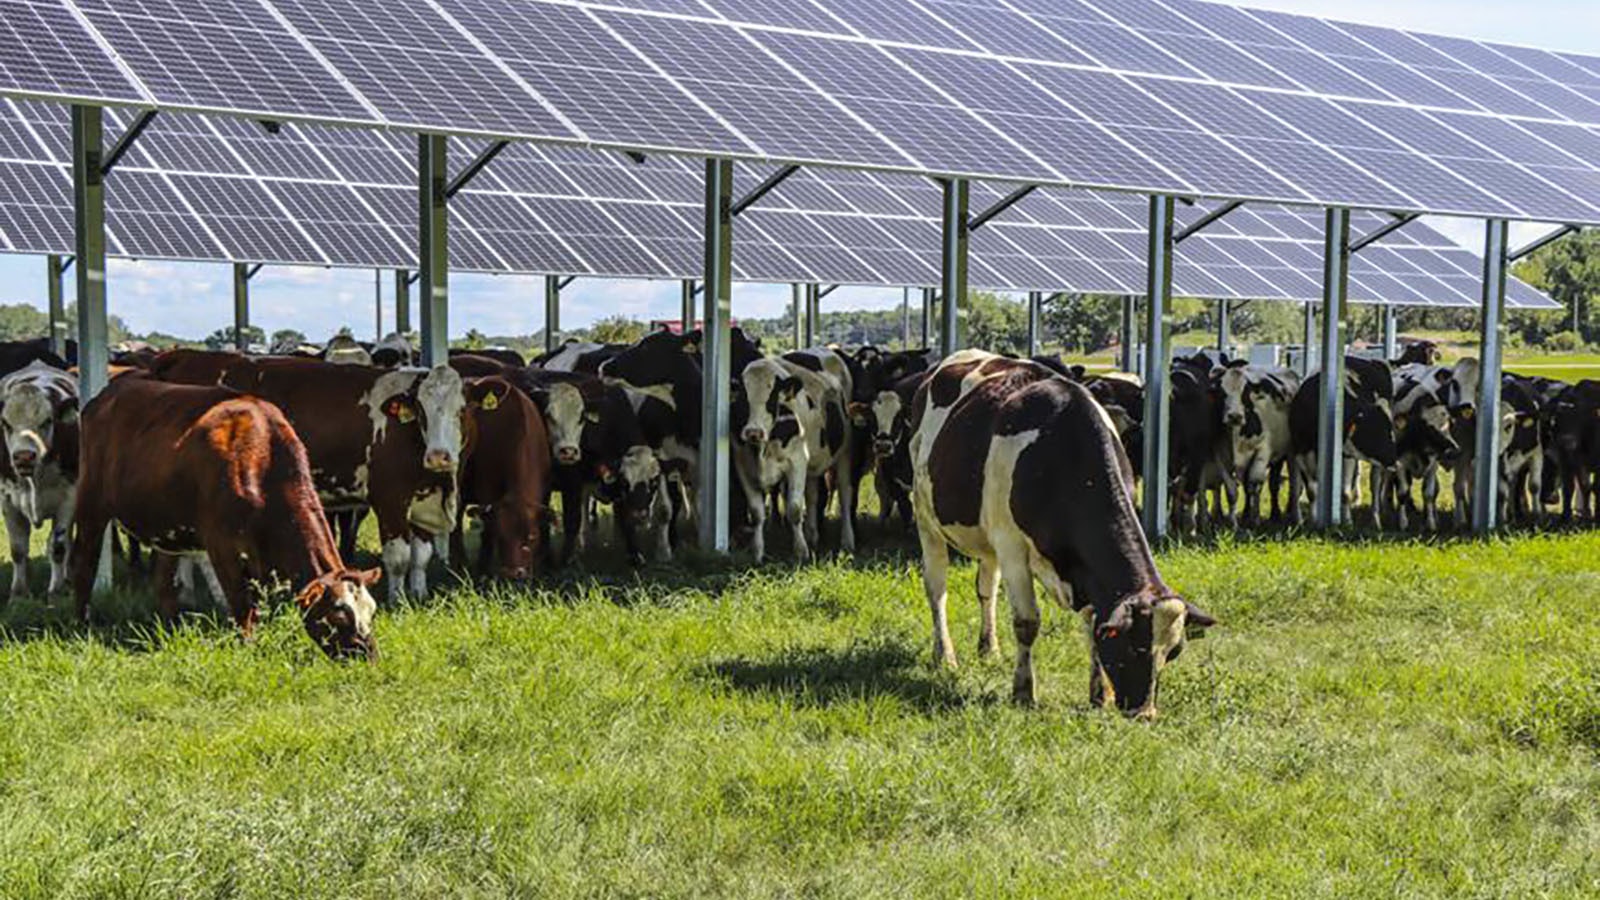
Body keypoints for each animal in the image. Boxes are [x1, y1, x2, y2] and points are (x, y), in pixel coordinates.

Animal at [0, 360, 78, 598]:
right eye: (6, 423)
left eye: (47, 421)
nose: (24, 456)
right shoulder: (8, 501)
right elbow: (18, 549)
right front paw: (18, 592)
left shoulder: (69, 498)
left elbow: (58, 546)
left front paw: (56, 589)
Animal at [72, 373, 380, 659]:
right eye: (339, 614)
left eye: (372, 611)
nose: (370, 657)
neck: (262, 460)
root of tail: (109, 392)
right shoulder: (221, 546)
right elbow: (243, 607)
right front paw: (249, 648)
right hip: (91, 503)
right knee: (84, 564)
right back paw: (82, 625)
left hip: (166, 529)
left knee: (163, 583)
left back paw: (169, 628)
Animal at [451, 373, 550, 576]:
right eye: (501, 537)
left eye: (532, 537)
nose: (514, 573)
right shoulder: (486, 488)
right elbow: (487, 529)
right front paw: (483, 568)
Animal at [908, 350, 1216, 714]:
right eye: (1134, 646)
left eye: (1173, 652)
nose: (1145, 714)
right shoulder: (1012, 547)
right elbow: (1027, 623)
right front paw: (1023, 692)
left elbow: (1093, 620)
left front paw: (1100, 694)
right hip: (927, 519)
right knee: (937, 589)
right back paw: (945, 654)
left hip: (987, 538)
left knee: (986, 590)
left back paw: (989, 648)